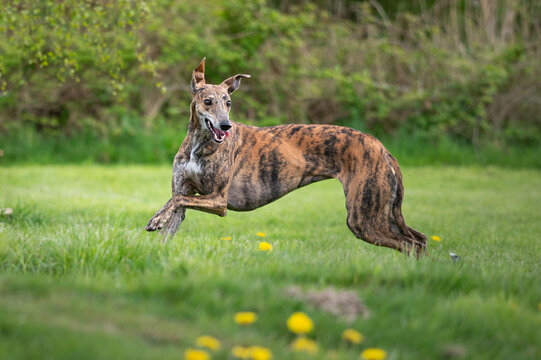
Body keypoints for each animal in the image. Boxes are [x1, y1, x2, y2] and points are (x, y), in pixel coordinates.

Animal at [144, 59, 426, 255]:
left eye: (228, 103)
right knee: (419, 240)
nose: (226, 126)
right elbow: (175, 207)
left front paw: (155, 218)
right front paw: (158, 232)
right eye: (208, 101)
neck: (199, 144)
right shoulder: (185, 197)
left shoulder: (218, 200)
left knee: (412, 244)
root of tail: (382, 148)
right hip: (379, 212)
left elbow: (177, 200)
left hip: (364, 217)